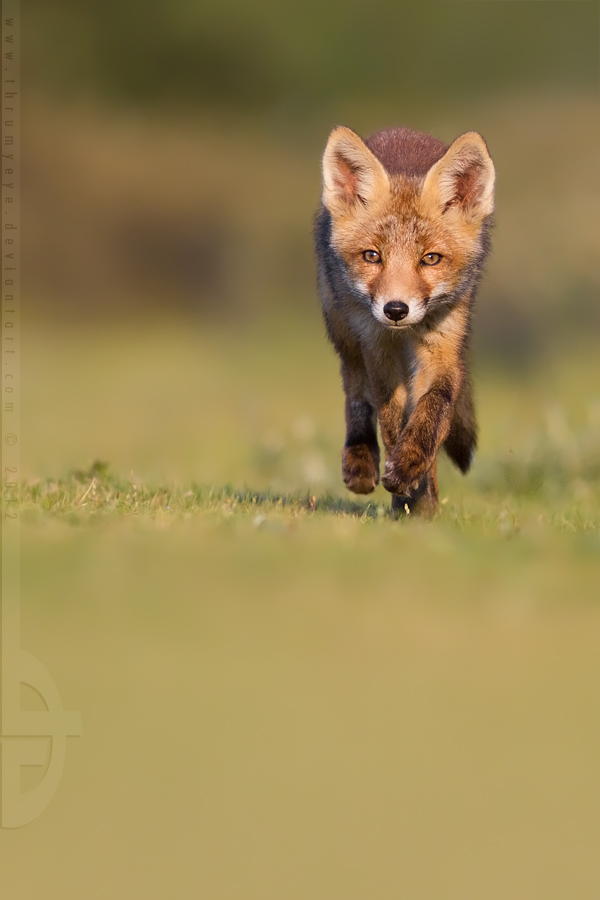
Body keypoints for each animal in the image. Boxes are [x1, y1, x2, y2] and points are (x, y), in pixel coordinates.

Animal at [316, 124, 494, 516]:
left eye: (431, 258)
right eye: (372, 256)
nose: (395, 309)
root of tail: (399, 131)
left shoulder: (441, 345)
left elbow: (432, 413)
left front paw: (412, 472)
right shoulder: (377, 345)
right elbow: (390, 419)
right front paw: (407, 495)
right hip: (345, 333)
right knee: (355, 391)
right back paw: (361, 461)